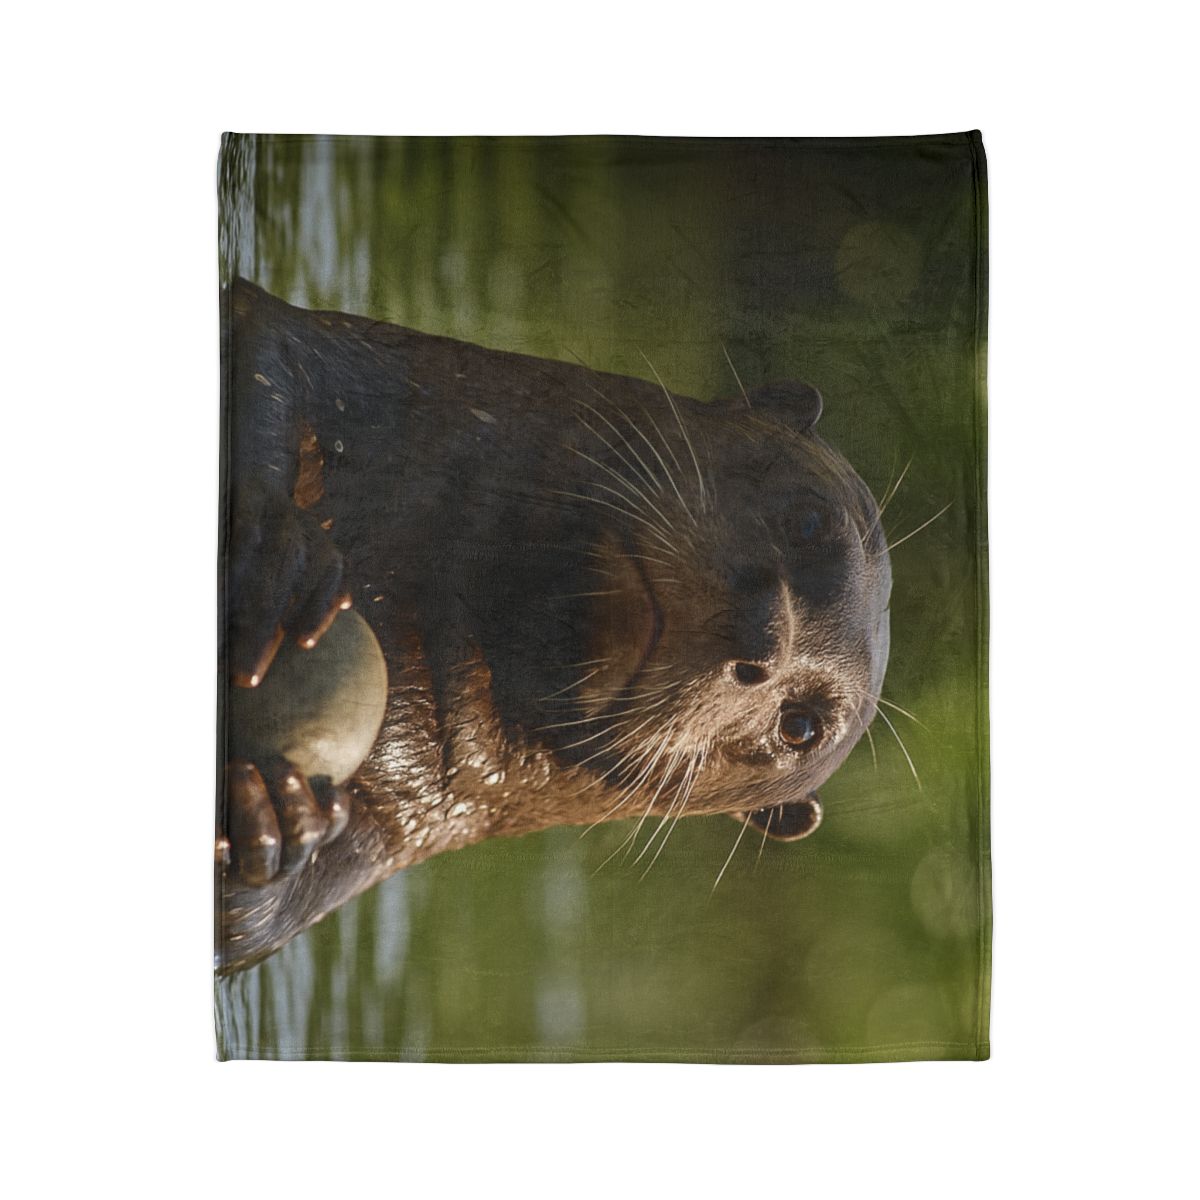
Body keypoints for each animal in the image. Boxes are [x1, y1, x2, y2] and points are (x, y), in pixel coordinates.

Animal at [217, 280, 893, 973]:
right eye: (809, 521)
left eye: (800, 726)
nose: (758, 636)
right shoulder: (391, 375)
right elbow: (272, 343)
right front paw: (277, 551)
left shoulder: (380, 841)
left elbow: (248, 924)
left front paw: (275, 811)